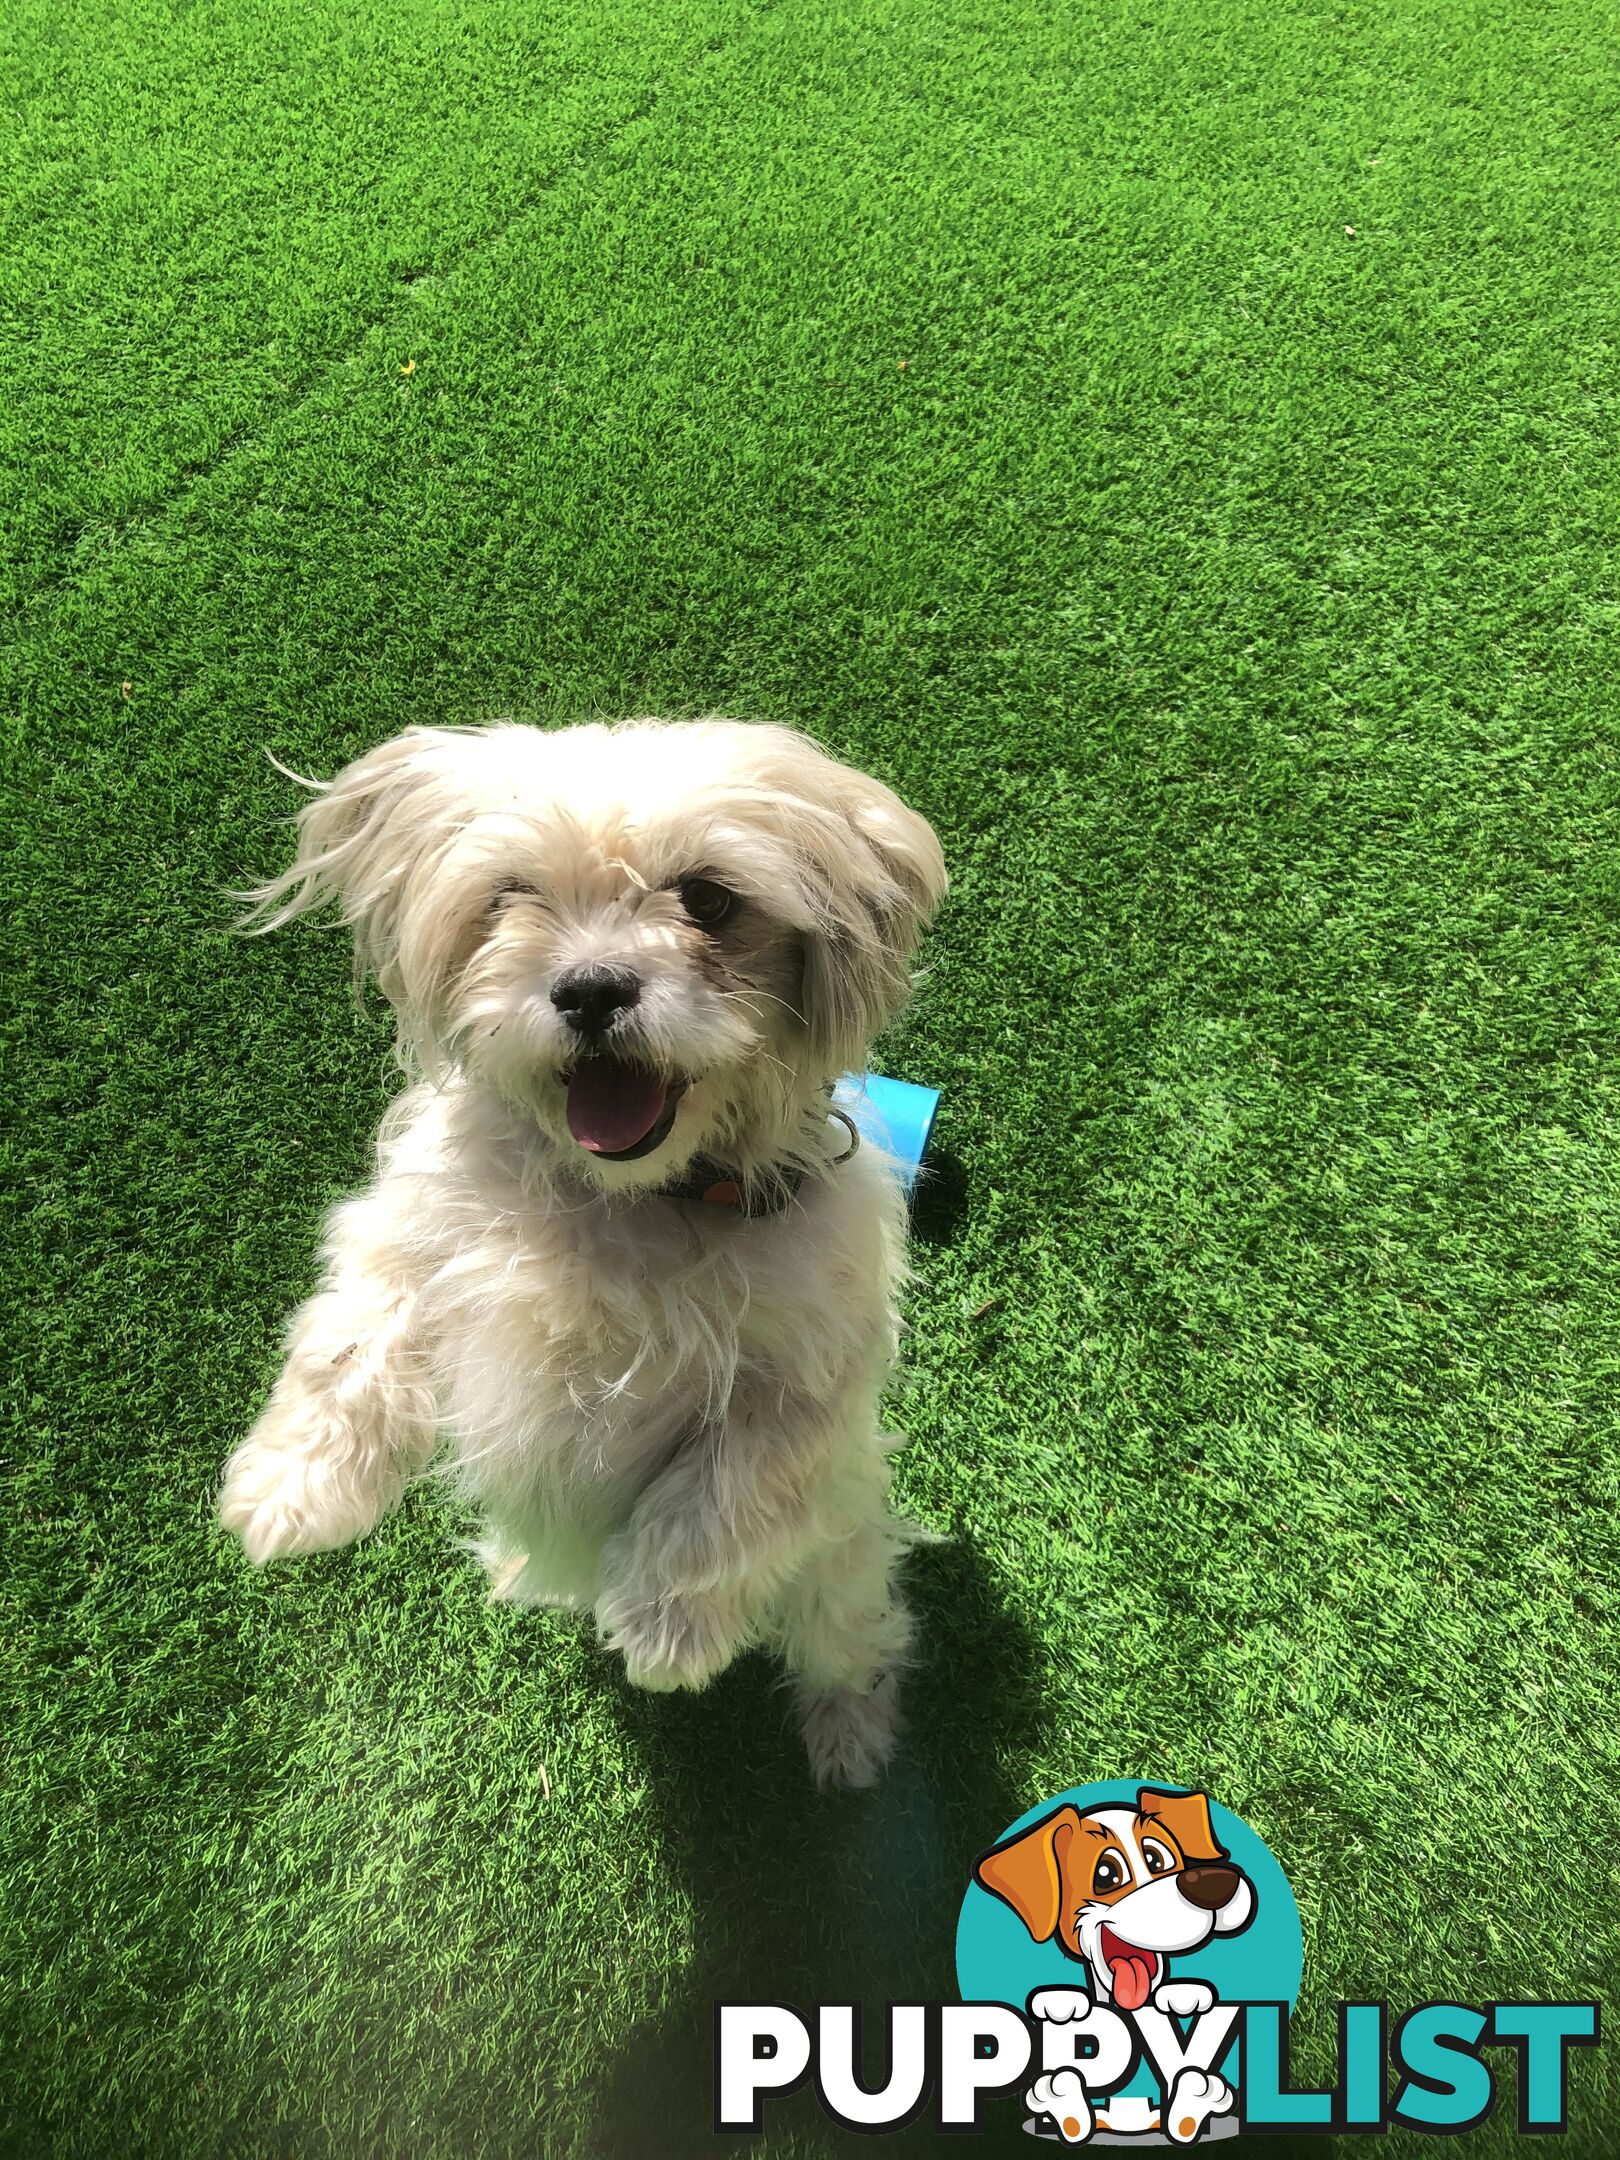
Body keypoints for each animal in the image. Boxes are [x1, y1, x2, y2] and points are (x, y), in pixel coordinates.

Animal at [219, 721, 950, 1788]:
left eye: (709, 899)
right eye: (512, 894)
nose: (591, 989)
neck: (625, 1202)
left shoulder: (810, 1371)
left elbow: (730, 1491)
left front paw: (664, 1629)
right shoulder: (406, 1236)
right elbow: (348, 1341)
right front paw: (288, 1494)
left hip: (838, 1571)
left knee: (856, 1641)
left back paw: (849, 1737)